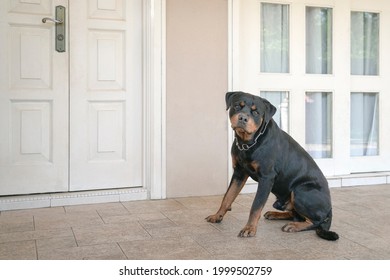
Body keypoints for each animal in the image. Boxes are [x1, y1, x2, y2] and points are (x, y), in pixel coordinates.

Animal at [207, 91, 338, 241]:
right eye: (237, 106)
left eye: (256, 112)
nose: (243, 118)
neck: (248, 142)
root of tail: (330, 210)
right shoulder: (239, 173)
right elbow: (227, 197)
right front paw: (217, 215)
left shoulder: (266, 177)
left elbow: (256, 206)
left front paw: (249, 228)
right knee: (298, 216)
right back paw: (275, 214)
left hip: (301, 191)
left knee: (315, 221)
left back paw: (294, 226)